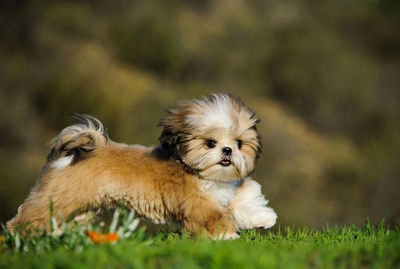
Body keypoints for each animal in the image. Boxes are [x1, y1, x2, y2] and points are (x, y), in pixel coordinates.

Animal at [7, 93, 276, 238]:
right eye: (211, 143)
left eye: (239, 143)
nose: (227, 151)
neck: (203, 174)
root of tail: (75, 150)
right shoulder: (195, 203)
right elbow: (212, 217)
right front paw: (227, 237)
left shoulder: (224, 193)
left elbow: (242, 199)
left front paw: (262, 217)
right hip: (59, 199)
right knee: (29, 218)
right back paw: (18, 238)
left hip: (79, 206)